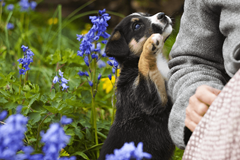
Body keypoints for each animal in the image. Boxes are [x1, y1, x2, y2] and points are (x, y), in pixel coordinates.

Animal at [98, 11, 175, 159]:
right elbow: (144, 65)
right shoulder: (150, 101)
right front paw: (150, 44)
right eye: (137, 26)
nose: (162, 15)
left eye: (147, 14)